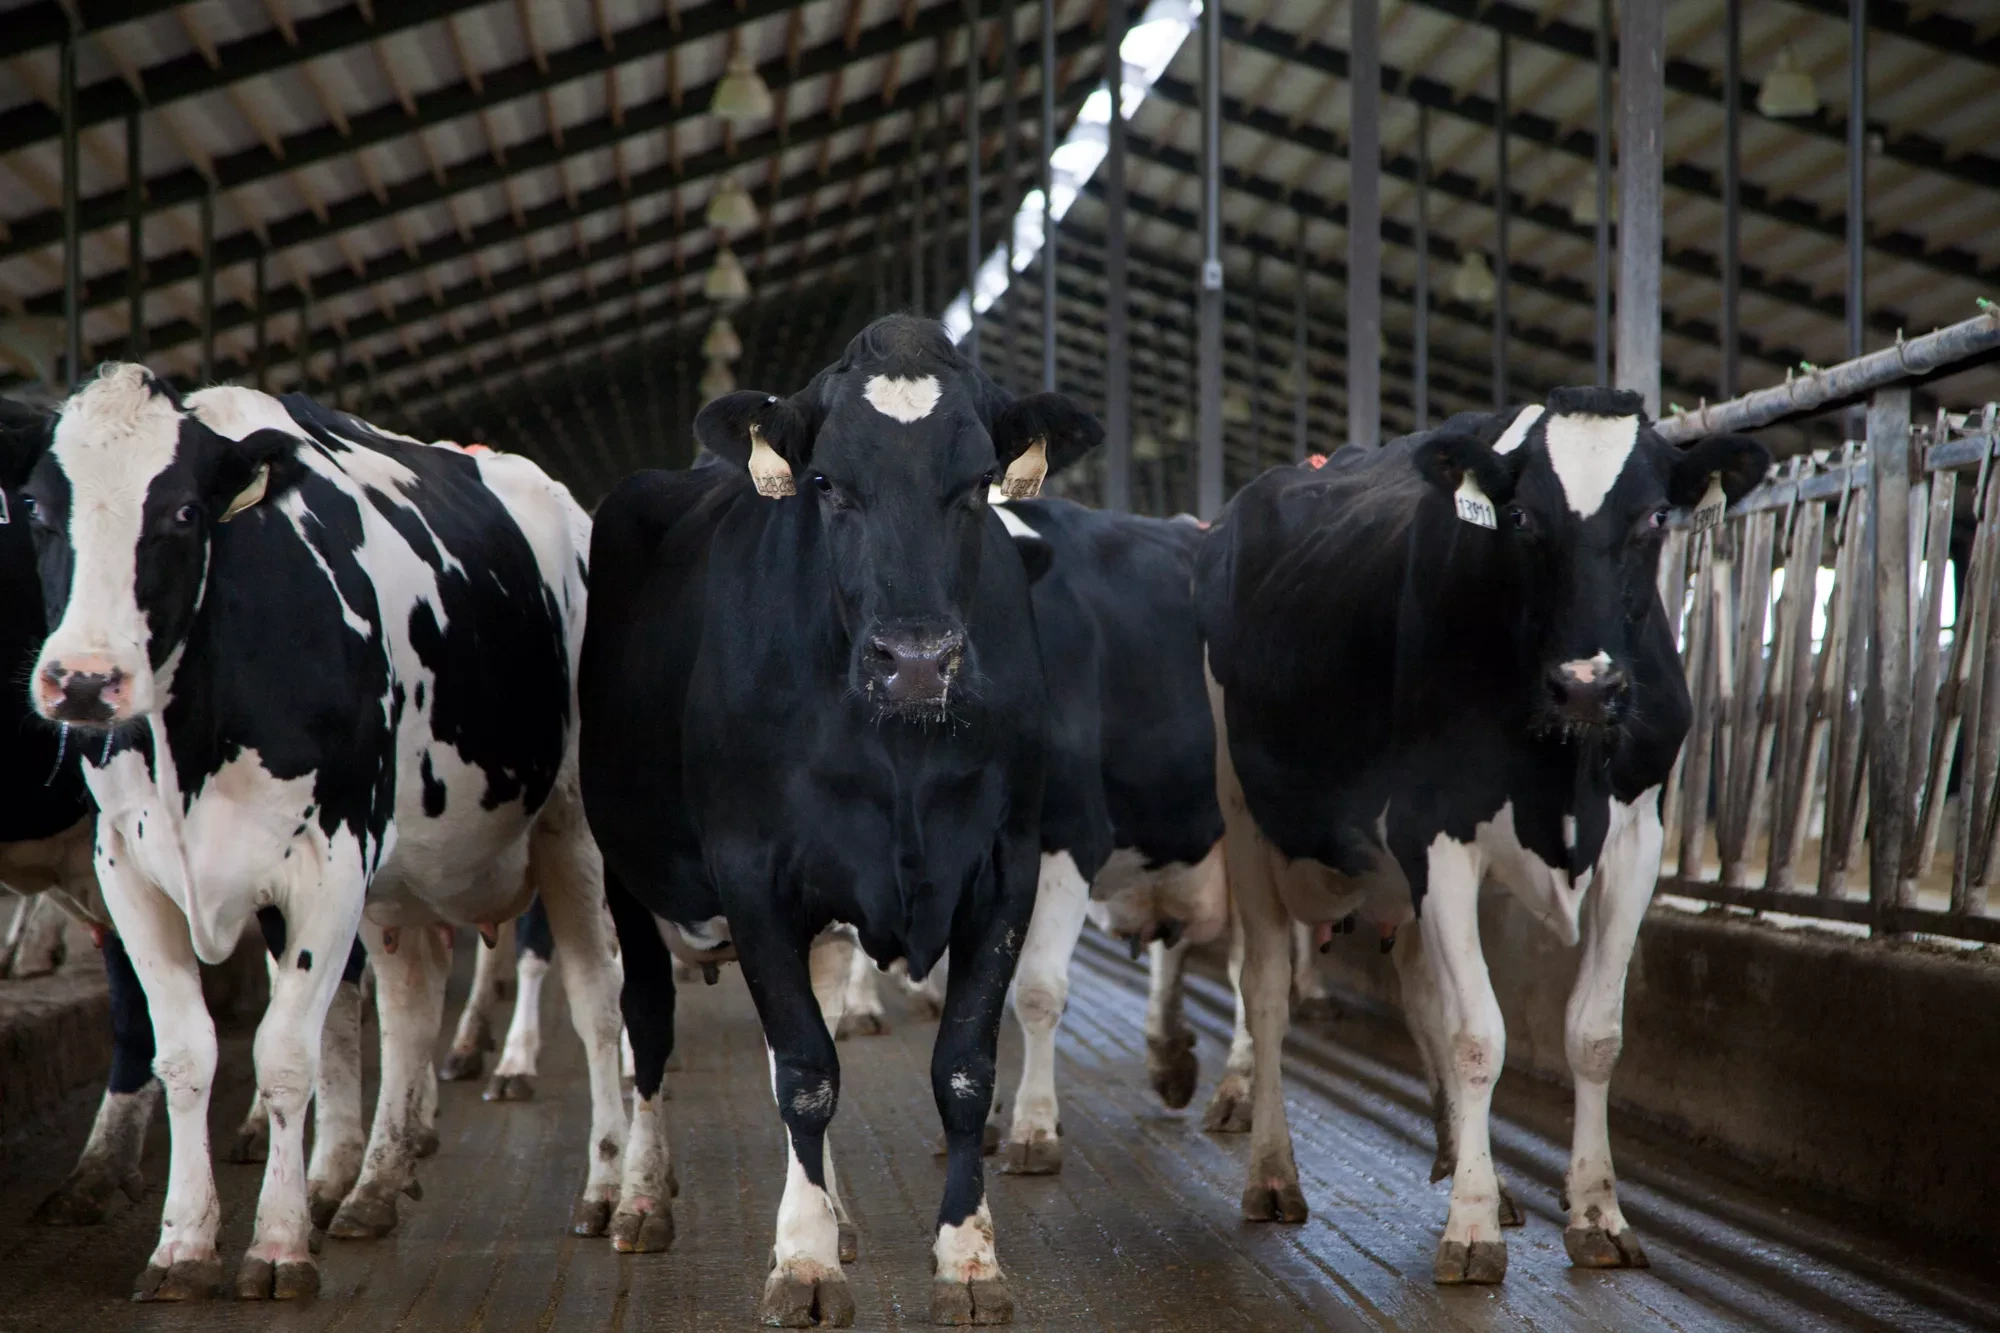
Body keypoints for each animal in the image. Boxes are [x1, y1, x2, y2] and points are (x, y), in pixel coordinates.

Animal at [0, 365, 625, 1302]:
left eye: (183, 513)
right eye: (38, 508)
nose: (82, 680)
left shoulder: (330, 859)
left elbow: (287, 1050)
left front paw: (277, 1244)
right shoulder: (129, 867)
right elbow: (187, 1051)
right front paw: (183, 1243)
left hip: (573, 835)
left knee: (600, 1000)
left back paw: (623, 1190)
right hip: (404, 876)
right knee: (409, 1005)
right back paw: (374, 1184)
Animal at [579, 314, 1101, 1327]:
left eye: (978, 482)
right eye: (826, 483)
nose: (917, 659)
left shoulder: (1004, 864)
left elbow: (963, 1066)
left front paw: (965, 1254)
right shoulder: (749, 870)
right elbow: (805, 1071)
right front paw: (805, 1261)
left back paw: (838, 1210)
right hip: (626, 870)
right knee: (648, 1028)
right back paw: (642, 1199)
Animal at [1194, 390, 1767, 1284]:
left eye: (1655, 517)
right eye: (1522, 515)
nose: (1586, 683)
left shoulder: (1638, 838)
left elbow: (1593, 1034)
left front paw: (1595, 1212)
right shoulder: (1436, 833)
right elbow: (1477, 1036)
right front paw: (1469, 1230)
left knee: (1419, 983)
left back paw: (1480, 1174)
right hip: (1247, 813)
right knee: (1264, 991)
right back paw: (1274, 1174)